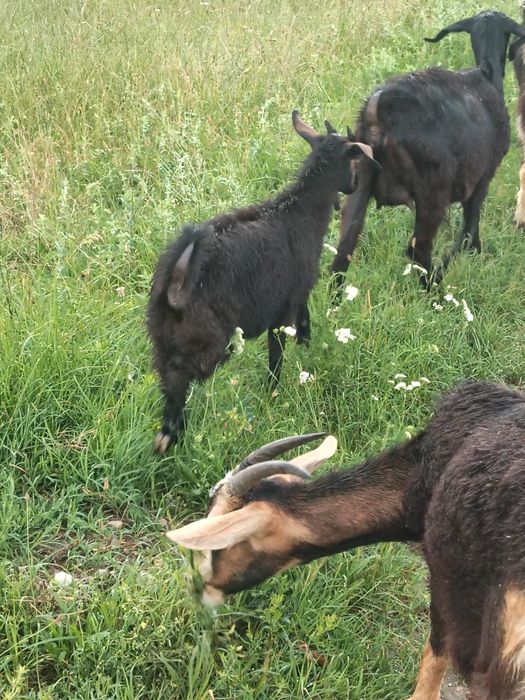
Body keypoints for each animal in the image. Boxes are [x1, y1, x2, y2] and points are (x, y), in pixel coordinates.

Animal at [147, 113, 378, 453]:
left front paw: (305, 350)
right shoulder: (283, 308)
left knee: (169, 383)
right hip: (208, 342)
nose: (353, 185)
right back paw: (170, 437)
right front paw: (273, 393)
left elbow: (304, 326)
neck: (300, 211)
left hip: (162, 339)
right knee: (180, 381)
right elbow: (277, 355)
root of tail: (176, 281)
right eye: (353, 163)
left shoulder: (299, 296)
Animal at [331, 11, 524, 289]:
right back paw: (435, 287)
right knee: (418, 249)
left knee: (344, 248)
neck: (485, 75)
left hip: (361, 181)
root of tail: (377, 115)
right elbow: (470, 224)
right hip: (431, 192)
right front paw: (469, 252)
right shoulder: (482, 177)